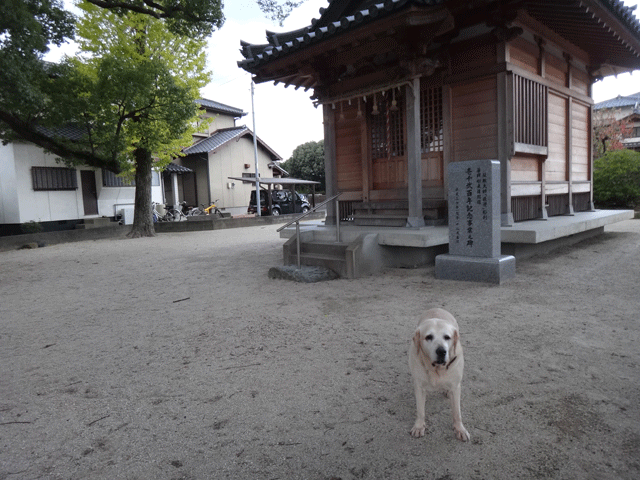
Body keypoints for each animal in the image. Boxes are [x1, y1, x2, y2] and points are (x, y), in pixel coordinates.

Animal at [410, 310, 470, 440]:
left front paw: (460, 429)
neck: (437, 369)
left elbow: (457, 412)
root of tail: (436, 308)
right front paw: (419, 426)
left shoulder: (455, 387)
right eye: (428, 337)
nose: (441, 351)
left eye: (447, 337)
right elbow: (420, 410)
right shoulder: (419, 386)